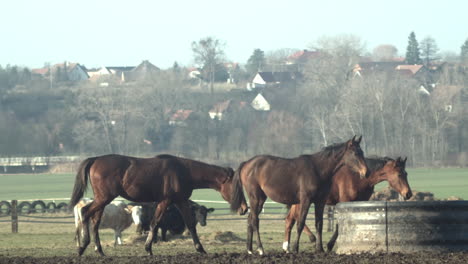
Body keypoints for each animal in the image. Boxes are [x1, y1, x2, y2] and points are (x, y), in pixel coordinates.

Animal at [70, 154, 249, 256]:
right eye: (236, 187)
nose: (244, 208)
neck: (183, 171)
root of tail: (95, 160)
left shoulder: (180, 201)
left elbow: (190, 224)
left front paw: (200, 249)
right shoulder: (165, 201)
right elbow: (155, 223)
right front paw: (148, 248)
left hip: (102, 200)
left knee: (94, 221)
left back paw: (99, 250)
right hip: (103, 198)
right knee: (85, 213)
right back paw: (82, 247)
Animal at [230, 136, 370, 254]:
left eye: (362, 152)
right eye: (355, 153)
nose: (366, 172)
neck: (318, 169)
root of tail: (247, 163)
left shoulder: (320, 202)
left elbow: (319, 224)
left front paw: (320, 249)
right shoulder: (305, 200)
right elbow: (300, 223)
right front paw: (295, 248)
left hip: (260, 199)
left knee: (250, 220)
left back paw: (249, 250)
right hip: (255, 198)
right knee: (255, 220)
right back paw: (260, 249)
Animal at [284, 156, 412, 253]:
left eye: (406, 173)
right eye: (399, 174)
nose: (408, 193)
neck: (358, 177)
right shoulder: (345, 202)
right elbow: (338, 225)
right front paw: (329, 245)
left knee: (290, 219)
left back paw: (287, 247)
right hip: (301, 202)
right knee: (296, 218)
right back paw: (309, 239)